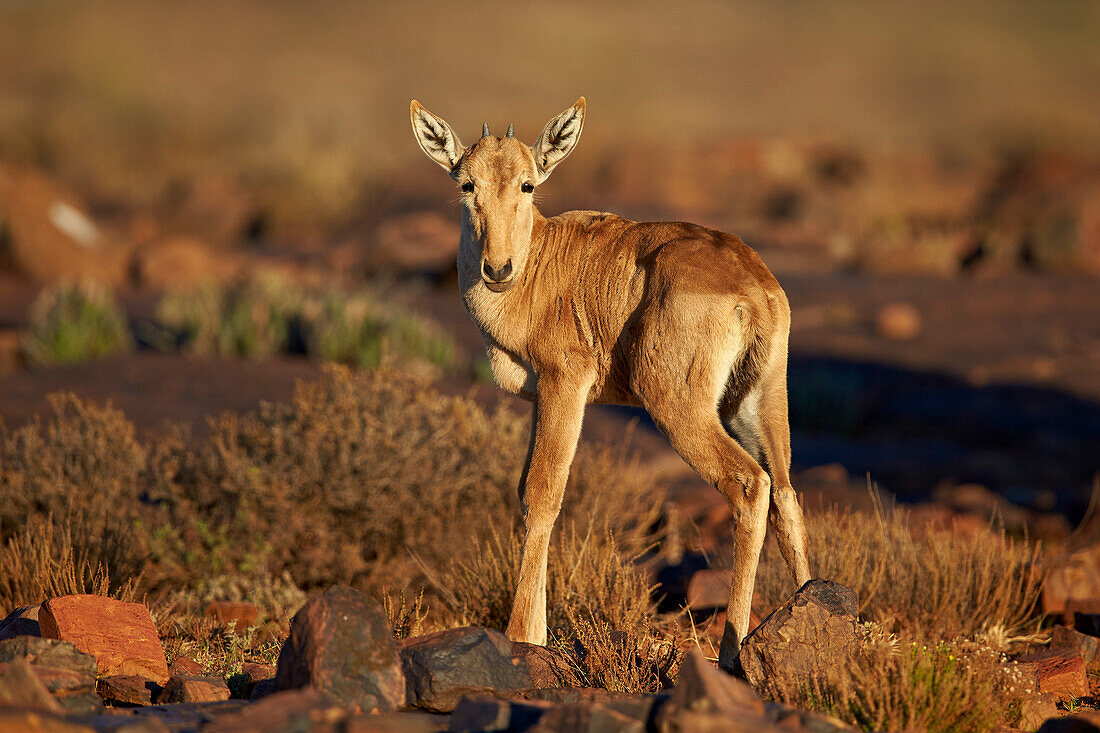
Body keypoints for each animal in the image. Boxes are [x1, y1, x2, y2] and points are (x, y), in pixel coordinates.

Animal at [409, 98, 814, 673]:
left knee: (748, 484)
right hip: (758, 402)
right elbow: (524, 489)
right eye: (467, 183)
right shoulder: (541, 399)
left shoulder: (565, 384)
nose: (497, 269)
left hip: (676, 406)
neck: (544, 261)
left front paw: (524, 634)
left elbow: (544, 494)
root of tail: (752, 287)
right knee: (785, 495)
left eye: (528, 184)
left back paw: (731, 652)